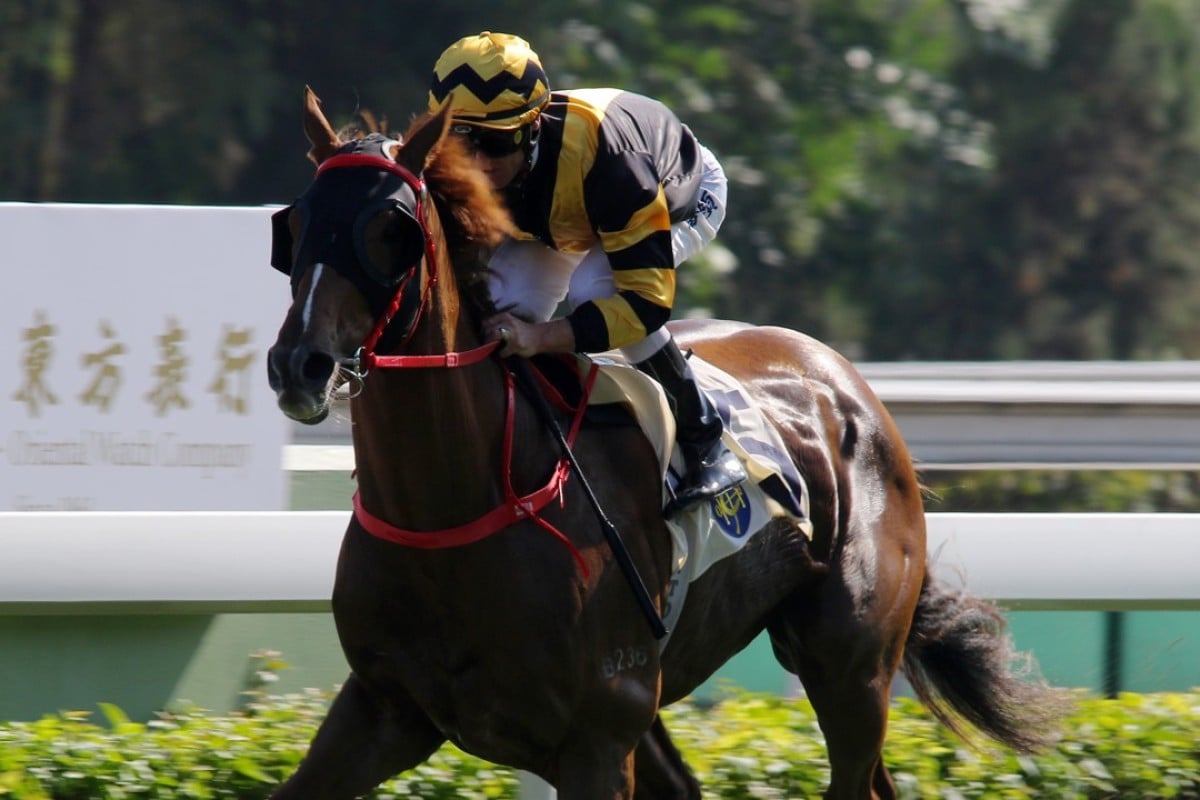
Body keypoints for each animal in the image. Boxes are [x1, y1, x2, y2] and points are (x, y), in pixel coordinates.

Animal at [265, 84, 1070, 796]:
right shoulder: (384, 709)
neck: (458, 511)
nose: (299, 364)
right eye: (295, 224)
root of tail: (850, 384)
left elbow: (638, 295)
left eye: (390, 229)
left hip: (851, 665)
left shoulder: (598, 734)